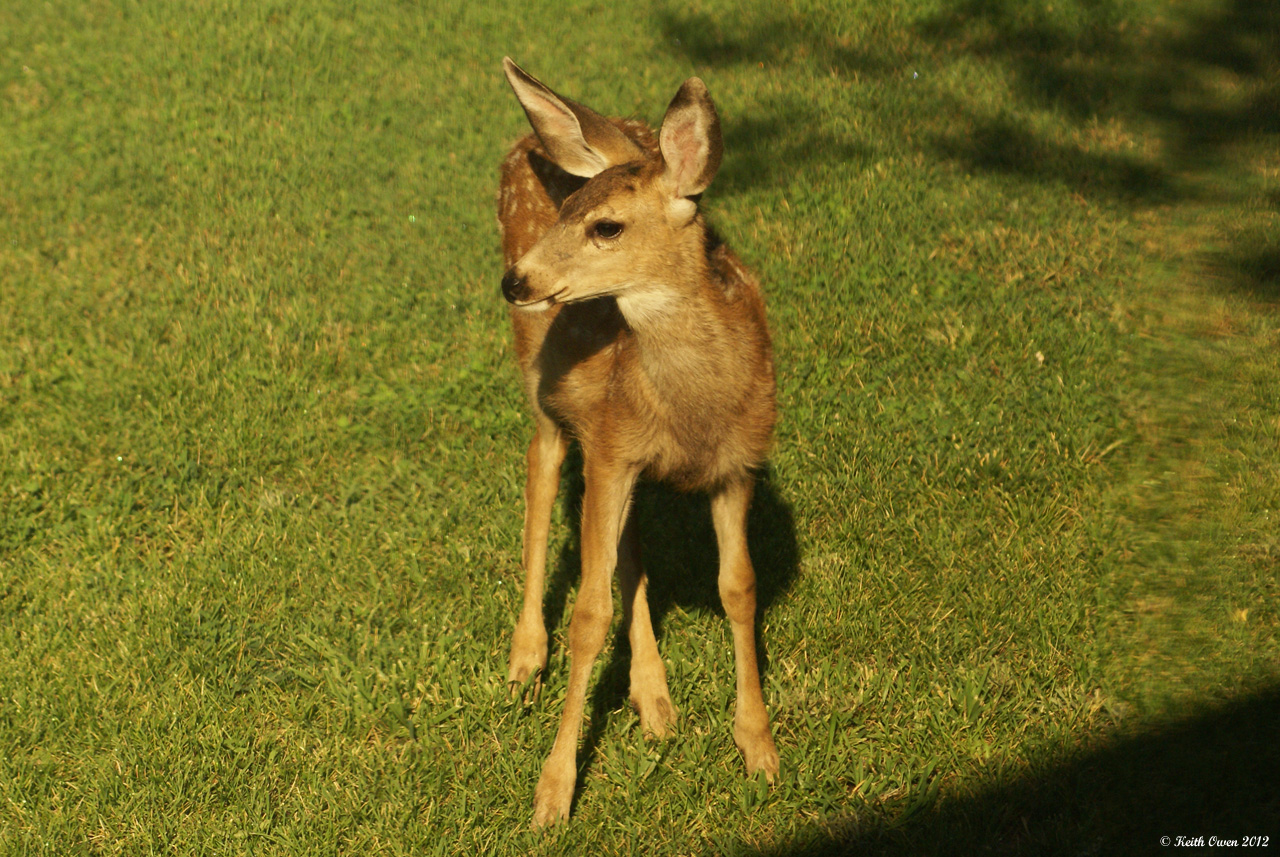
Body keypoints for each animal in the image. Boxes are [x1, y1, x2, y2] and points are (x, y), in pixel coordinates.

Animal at [496, 57, 779, 826]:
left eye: (607, 226)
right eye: (565, 210)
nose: (516, 279)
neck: (694, 410)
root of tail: (523, 143)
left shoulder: (736, 462)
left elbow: (739, 586)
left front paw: (759, 746)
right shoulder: (612, 450)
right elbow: (589, 614)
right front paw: (553, 792)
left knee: (628, 548)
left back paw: (654, 699)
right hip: (543, 388)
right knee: (539, 481)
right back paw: (525, 658)